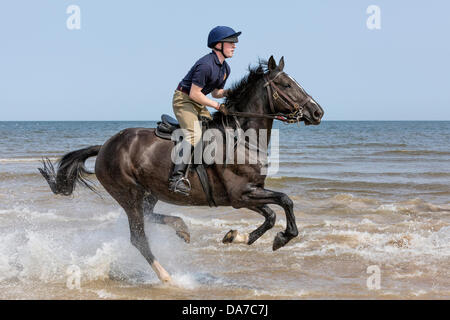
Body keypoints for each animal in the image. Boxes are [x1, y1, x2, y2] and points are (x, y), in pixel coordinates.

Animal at [38, 55, 324, 282]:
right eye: (286, 85)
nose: (318, 112)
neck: (241, 138)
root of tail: (105, 146)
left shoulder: (248, 194)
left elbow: (271, 214)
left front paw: (237, 237)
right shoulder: (240, 195)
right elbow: (285, 202)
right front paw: (282, 238)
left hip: (150, 193)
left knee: (149, 218)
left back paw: (181, 228)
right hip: (128, 194)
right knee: (139, 237)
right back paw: (168, 277)